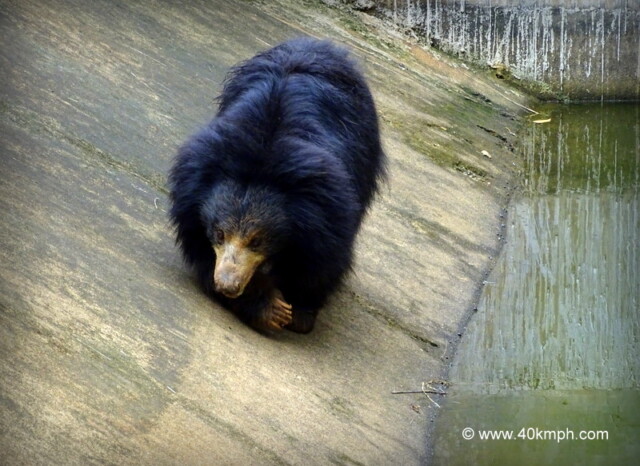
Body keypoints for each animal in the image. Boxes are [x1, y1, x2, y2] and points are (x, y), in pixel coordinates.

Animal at [168, 38, 386, 333]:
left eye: (257, 240)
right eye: (219, 234)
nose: (227, 285)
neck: (264, 154)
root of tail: (317, 44)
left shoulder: (326, 208)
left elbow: (320, 259)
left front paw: (300, 312)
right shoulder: (192, 192)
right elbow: (198, 246)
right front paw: (270, 308)